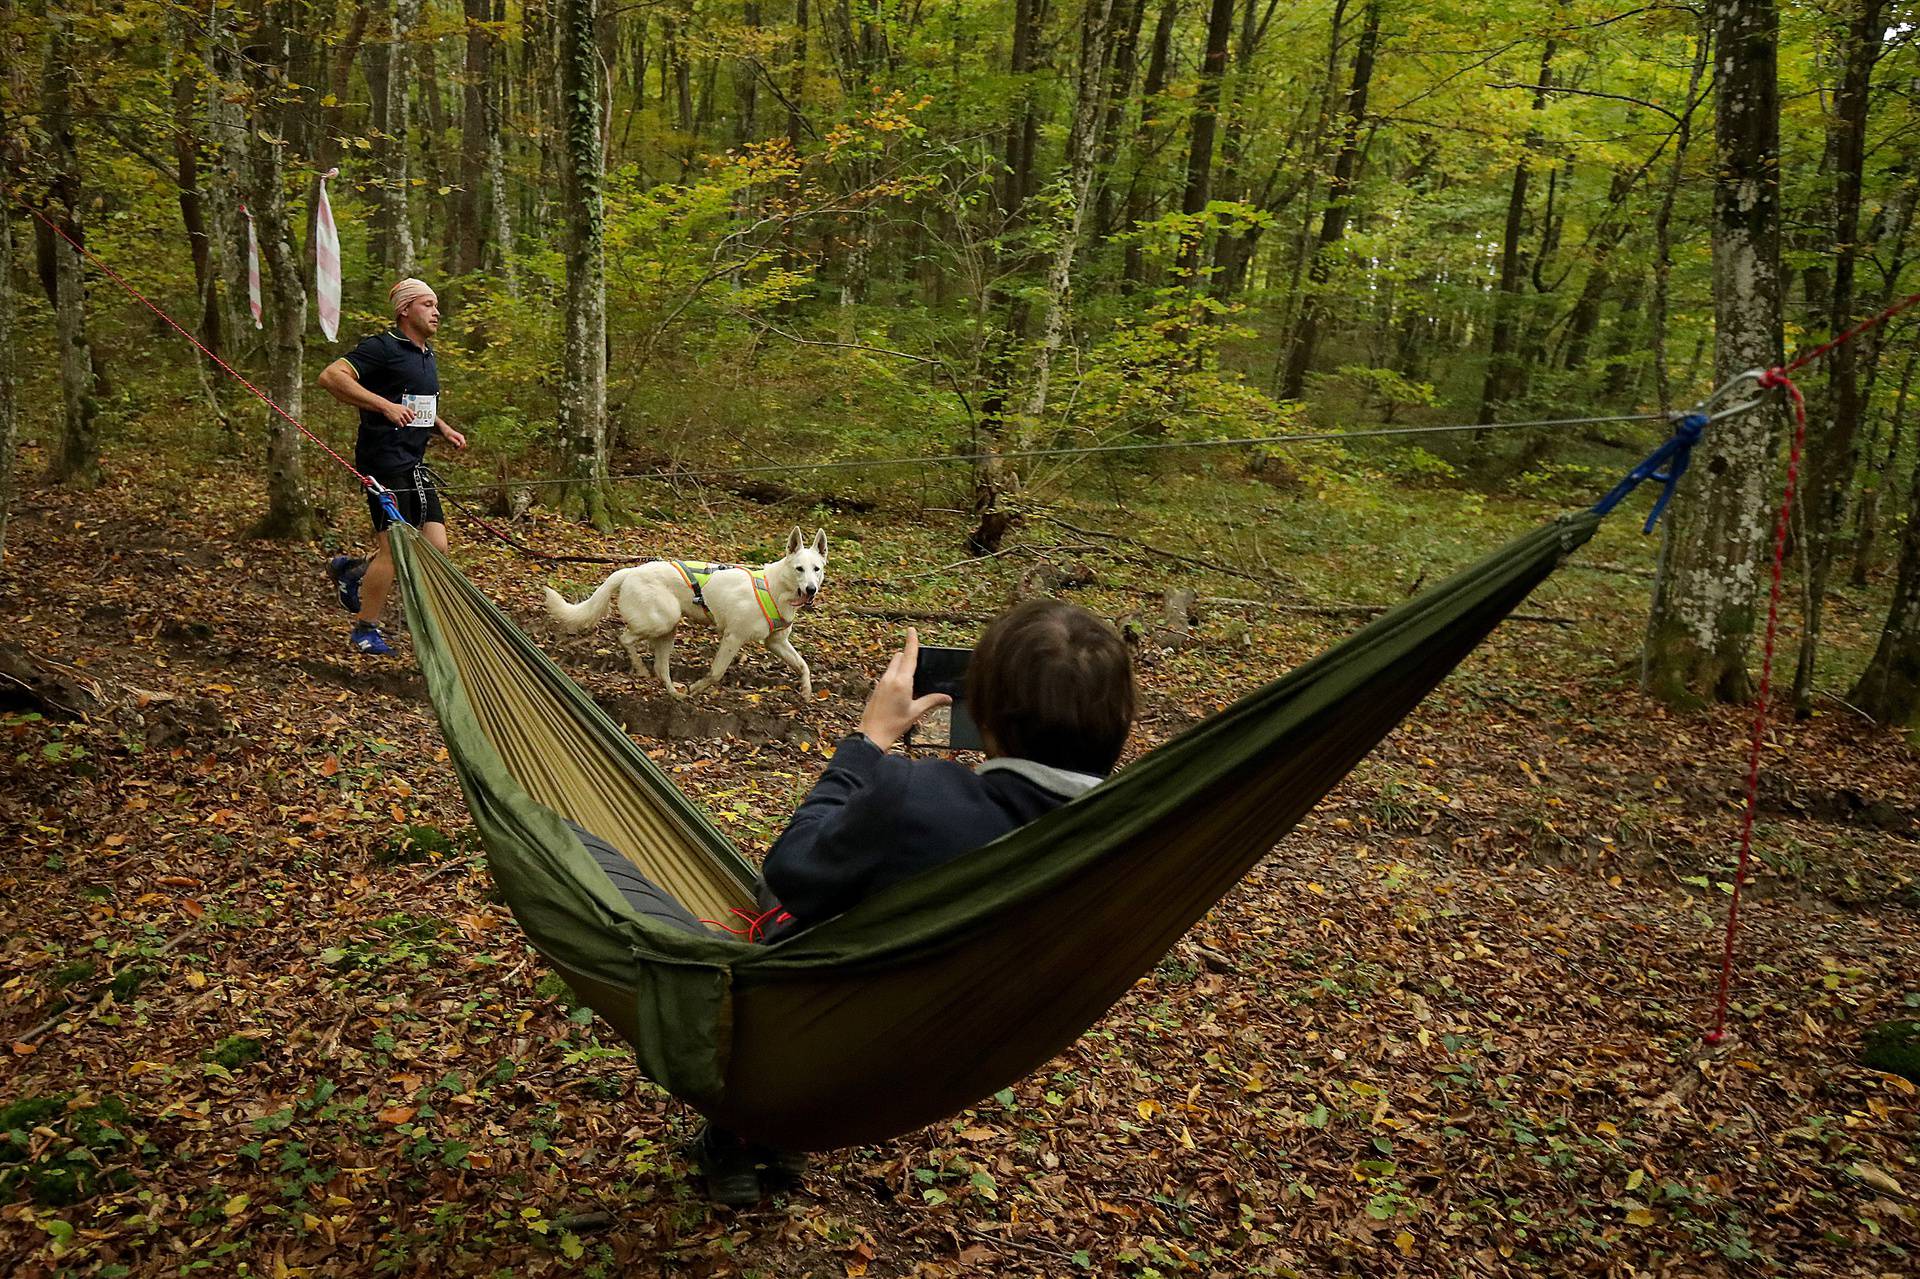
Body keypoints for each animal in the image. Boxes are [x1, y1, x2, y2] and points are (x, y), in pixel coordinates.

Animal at [549, 526, 833, 699]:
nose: (811, 590)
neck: (775, 588)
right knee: (625, 638)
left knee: (661, 668)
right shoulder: (733, 637)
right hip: (664, 620)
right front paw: (697, 688)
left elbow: (804, 665)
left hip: (668, 629)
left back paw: (674, 694)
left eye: (816, 569)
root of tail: (630, 570)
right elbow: (716, 673)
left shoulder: (776, 642)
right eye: (799, 569)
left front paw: (807, 691)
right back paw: (642, 670)